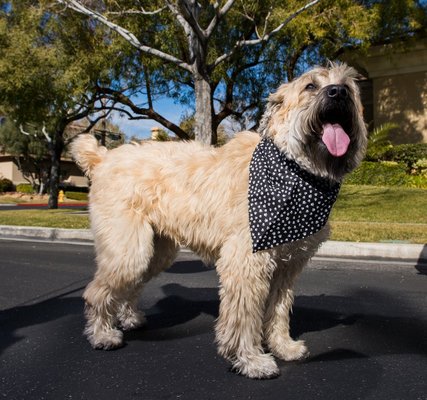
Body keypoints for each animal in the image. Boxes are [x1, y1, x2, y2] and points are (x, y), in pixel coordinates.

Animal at [72, 62, 368, 378]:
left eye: (348, 86)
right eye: (310, 86)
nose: (338, 93)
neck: (295, 169)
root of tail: (103, 158)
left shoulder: (286, 267)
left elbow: (278, 310)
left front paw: (283, 347)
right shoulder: (246, 263)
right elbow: (244, 317)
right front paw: (250, 360)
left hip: (156, 251)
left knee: (130, 286)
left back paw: (130, 318)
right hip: (129, 250)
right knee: (96, 292)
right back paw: (102, 334)